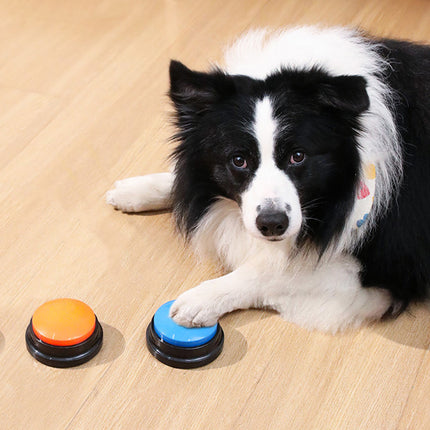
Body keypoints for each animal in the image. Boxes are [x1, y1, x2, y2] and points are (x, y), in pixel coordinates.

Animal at [106, 26, 430, 334]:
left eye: (298, 156)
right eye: (239, 160)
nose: (272, 224)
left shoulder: (381, 273)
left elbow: (272, 273)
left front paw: (199, 301)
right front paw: (134, 190)